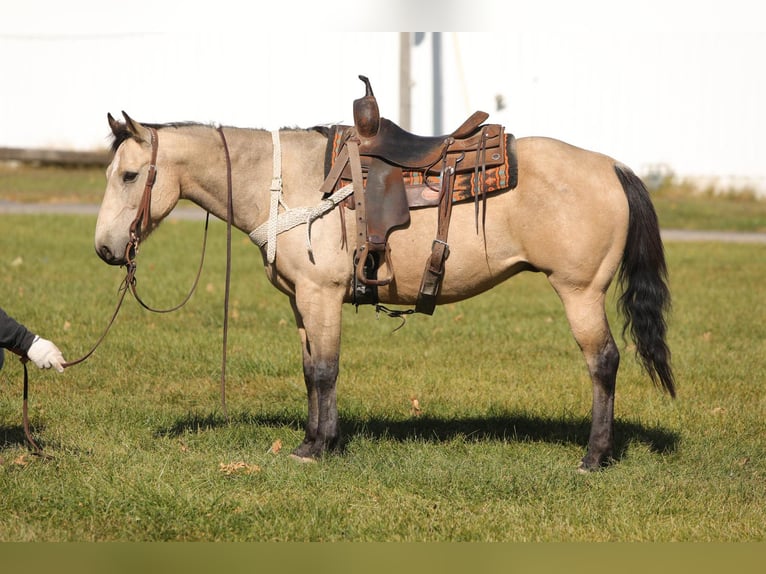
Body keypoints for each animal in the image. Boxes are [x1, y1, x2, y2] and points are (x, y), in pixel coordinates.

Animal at [93, 86, 676, 472]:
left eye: (129, 175)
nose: (104, 249)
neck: (288, 184)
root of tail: (613, 167)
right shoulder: (300, 301)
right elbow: (309, 370)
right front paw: (313, 440)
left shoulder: (321, 295)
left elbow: (325, 370)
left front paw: (318, 448)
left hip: (580, 292)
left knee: (603, 362)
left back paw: (594, 456)